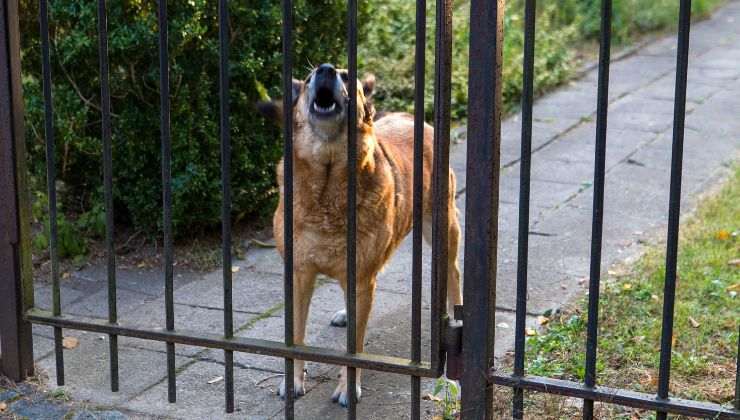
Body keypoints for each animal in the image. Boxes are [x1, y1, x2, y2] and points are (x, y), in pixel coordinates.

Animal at [258, 63, 460, 406]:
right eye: (309, 78)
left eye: (345, 75)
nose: (325, 70)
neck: (326, 189)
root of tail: (411, 117)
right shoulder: (299, 274)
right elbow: (296, 336)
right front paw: (293, 381)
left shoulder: (361, 277)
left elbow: (355, 346)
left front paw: (347, 388)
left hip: (442, 229)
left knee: (454, 273)